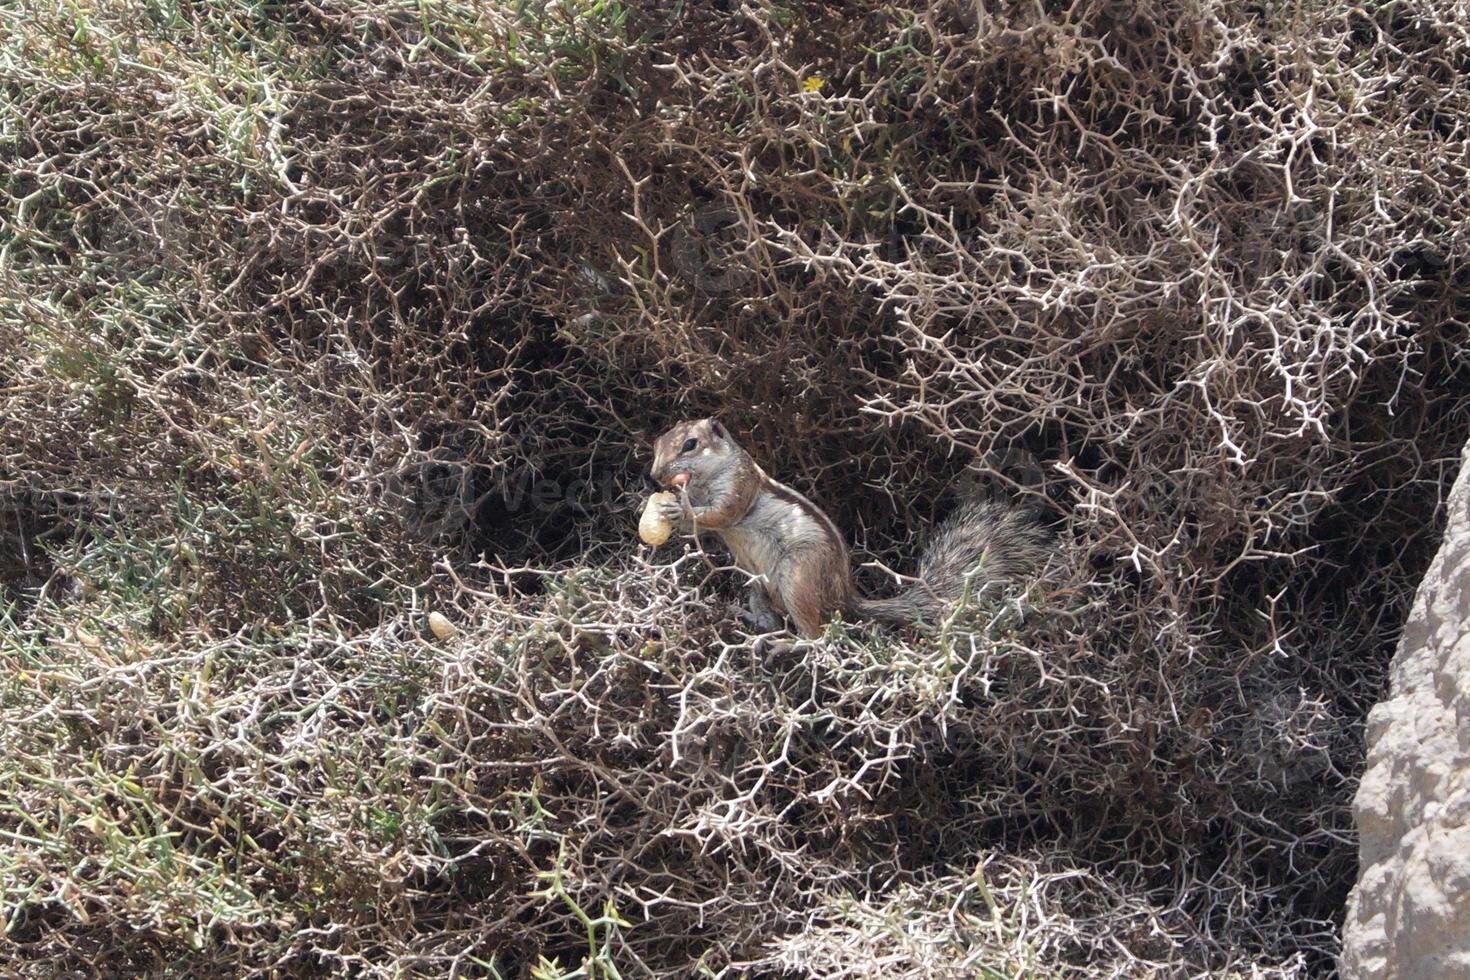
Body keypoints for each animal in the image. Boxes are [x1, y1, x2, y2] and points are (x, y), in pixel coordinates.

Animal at [649, 417, 1052, 640]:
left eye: (690, 444)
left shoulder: (740, 484)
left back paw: (786, 644)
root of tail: (844, 596)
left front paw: (681, 509)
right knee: (775, 616)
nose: (654, 475)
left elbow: (721, 514)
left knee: (816, 637)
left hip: (799, 574)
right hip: (758, 583)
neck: (708, 478)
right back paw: (757, 621)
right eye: (657, 444)